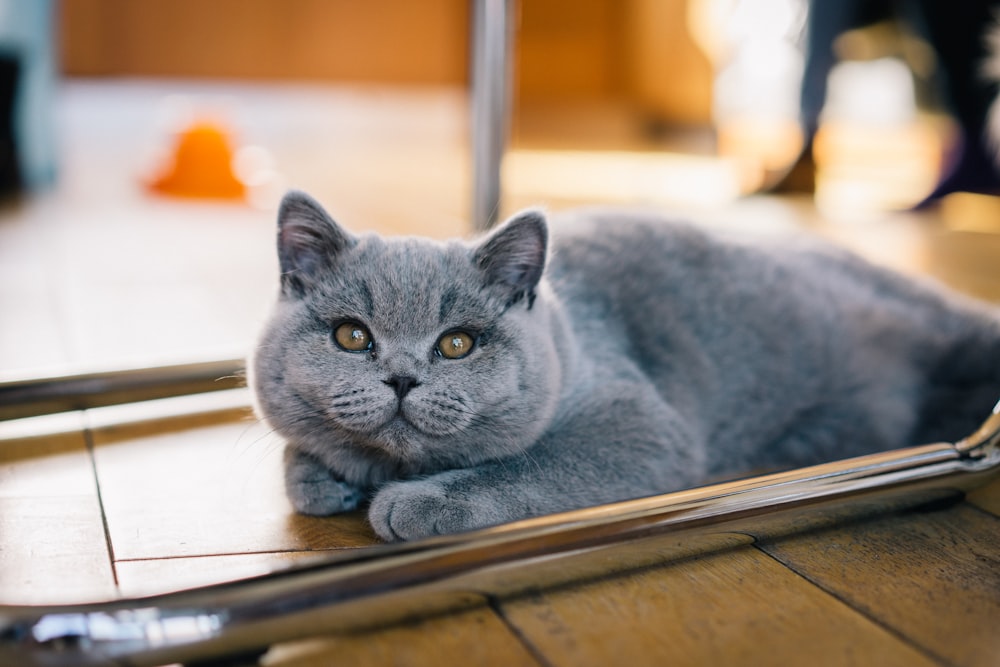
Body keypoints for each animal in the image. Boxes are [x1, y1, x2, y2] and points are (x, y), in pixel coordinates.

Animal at [250, 189, 1000, 544]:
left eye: (457, 344)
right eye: (351, 336)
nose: (403, 378)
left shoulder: (636, 421)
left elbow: (533, 463)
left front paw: (413, 502)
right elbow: (302, 453)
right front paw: (325, 476)